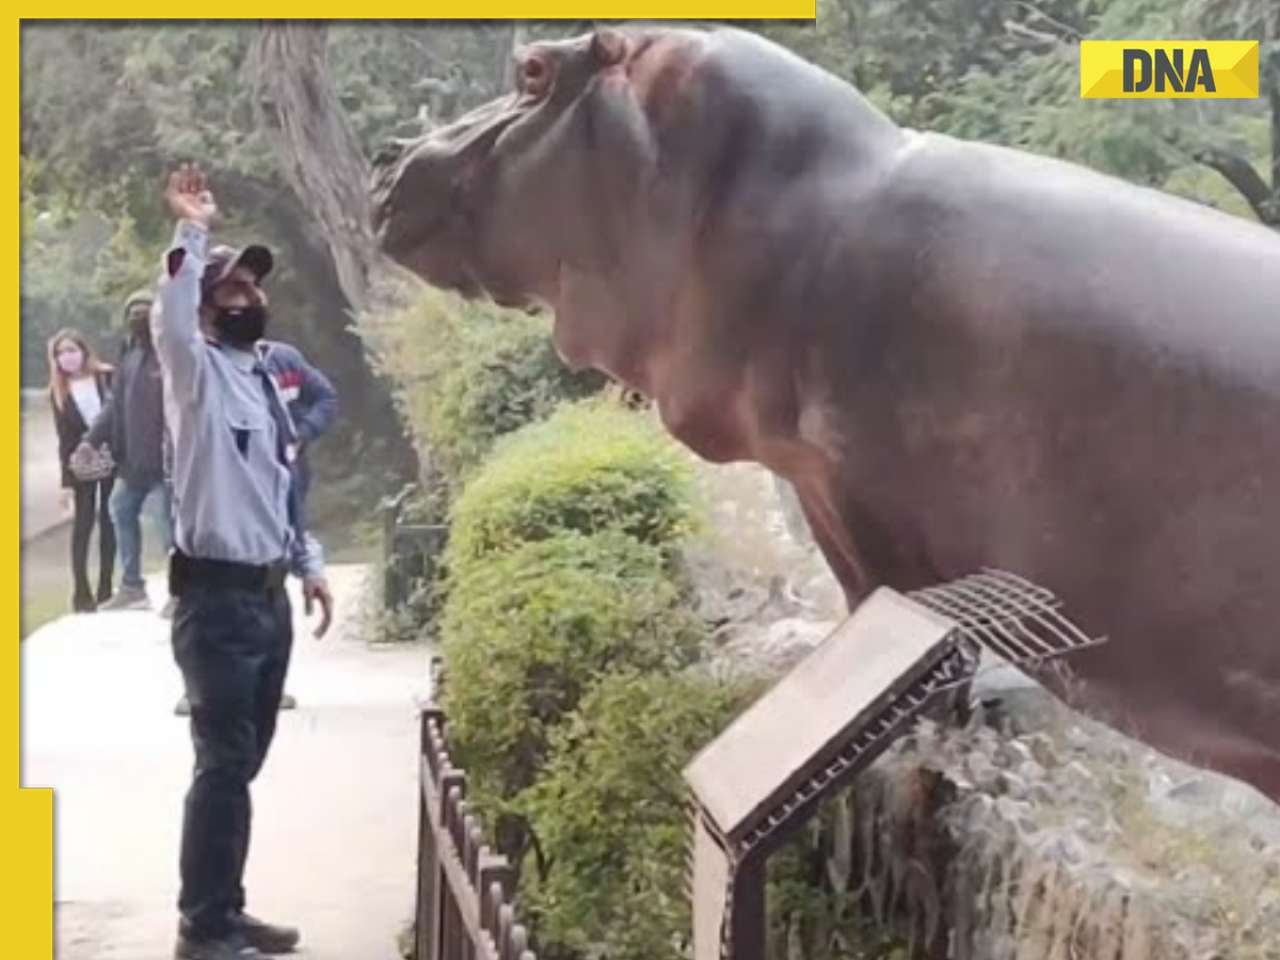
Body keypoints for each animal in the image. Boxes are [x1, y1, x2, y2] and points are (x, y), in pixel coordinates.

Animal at [371, 24, 1280, 803]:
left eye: (532, 71)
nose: (387, 153)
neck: (792, 198)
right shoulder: (816, 482)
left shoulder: (866, 497)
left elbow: (898, 609)